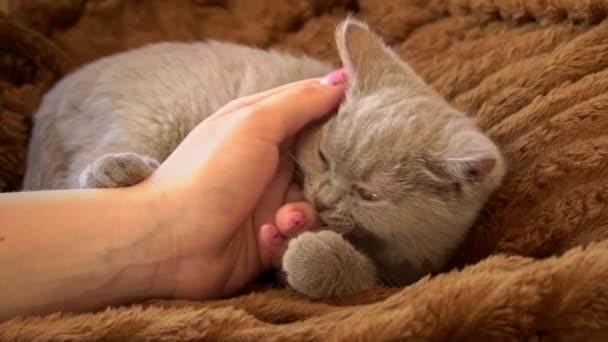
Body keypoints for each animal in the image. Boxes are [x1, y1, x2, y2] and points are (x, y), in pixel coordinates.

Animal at [21, 18, 506, 300]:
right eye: (324, 156)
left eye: (368, 194)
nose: (323, 198)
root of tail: (53, 98)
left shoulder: (409, 269)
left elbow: (368, 278)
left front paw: (313, 255)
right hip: (155, 116)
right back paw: (117, 169)